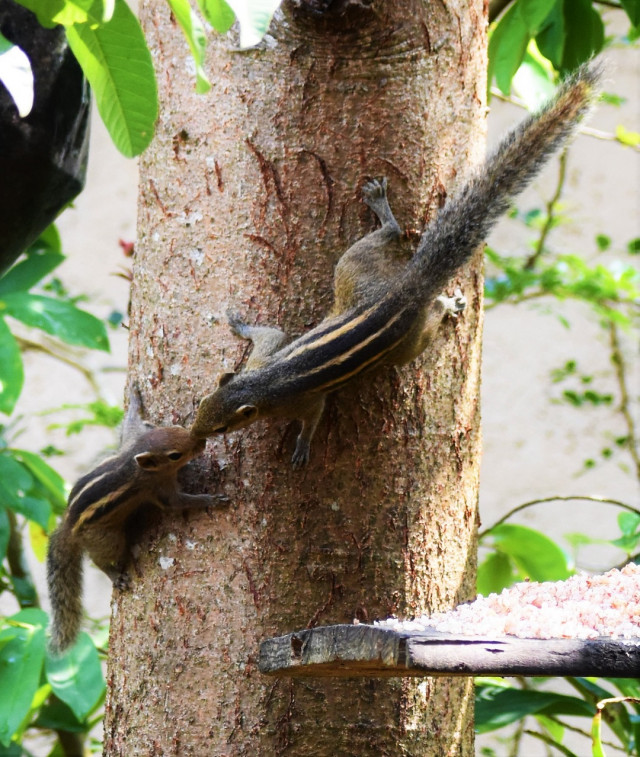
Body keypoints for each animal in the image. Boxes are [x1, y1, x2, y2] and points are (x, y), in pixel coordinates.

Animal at [47, 385, 224, 655]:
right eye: (175, 455)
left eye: (176, 427)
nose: (202, 442)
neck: (135, 463)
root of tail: (68, 528)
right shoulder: (158, 489)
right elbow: (177, 503)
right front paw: (211, 499)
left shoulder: (132, 439)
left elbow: (131, 424)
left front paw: (134, 400)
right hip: (107, 539)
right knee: (98, 560)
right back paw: (115, 576)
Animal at [190, 63, 601, 468]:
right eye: (201, 404)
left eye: (221, 428)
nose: (195, 434)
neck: (262, 383)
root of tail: (405, 289)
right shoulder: (262, 357)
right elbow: (267, 333)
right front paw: (239, 324)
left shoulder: (303, 401)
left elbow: (312, 417)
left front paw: (302, 448)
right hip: (357, 270)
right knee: (390, 236)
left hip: (401, 332)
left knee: (418, 285)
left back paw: (445, 299)